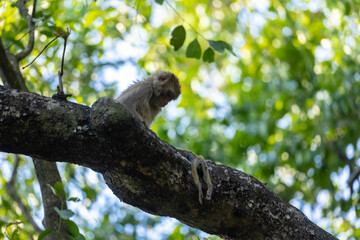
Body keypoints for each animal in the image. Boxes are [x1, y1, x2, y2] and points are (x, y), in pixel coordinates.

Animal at [115, 71, 212, 204]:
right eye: (168, 94)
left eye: (170, 98)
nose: (166, 102)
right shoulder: (144, 88)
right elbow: (123, 105)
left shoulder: (156, 106)